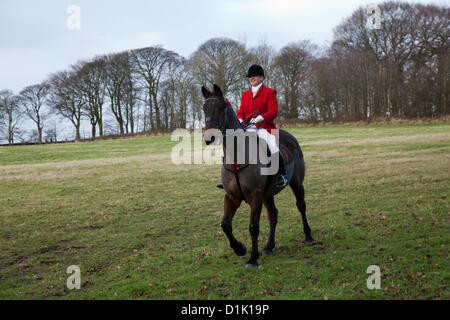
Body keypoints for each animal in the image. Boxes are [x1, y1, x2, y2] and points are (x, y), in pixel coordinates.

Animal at [201, 84, 312, 268]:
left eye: (221, 107)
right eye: (204, 108)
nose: (209, 137)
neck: (237, 159)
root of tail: (290, 137)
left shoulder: (255, 196)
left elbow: (253, 226)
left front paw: (253, 258)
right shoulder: (232, 196)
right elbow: (225, 224)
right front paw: (240, 248)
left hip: (296, 184)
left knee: (301, 206)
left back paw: (308, 236)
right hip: (268, 194)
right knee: (273, 215)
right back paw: (268, 247)